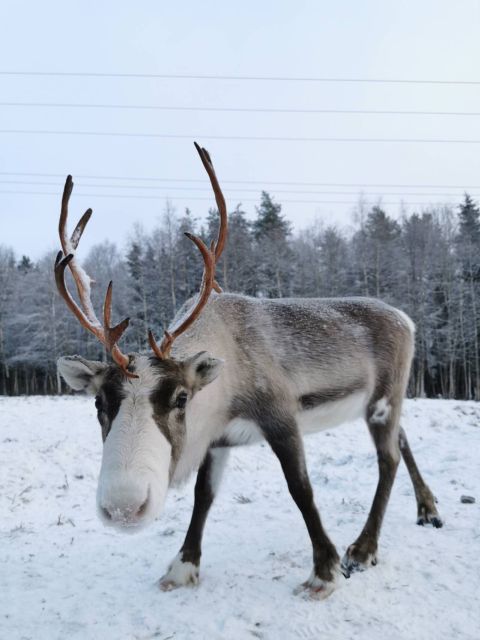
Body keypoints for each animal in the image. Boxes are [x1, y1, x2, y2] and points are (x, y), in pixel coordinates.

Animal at [55, 142, 442, 600]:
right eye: (99, 402)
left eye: (181, 398)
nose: (123, 506)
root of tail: (407, 319)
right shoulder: (218, 439)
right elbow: (203, 497)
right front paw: (182, 567)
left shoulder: (280, 417)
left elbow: (301, 489)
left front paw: (324, 571)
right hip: (387, 401)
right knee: (403, 439)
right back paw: (428, 509)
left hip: (382, 399)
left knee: (388, 458)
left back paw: (363, 550)